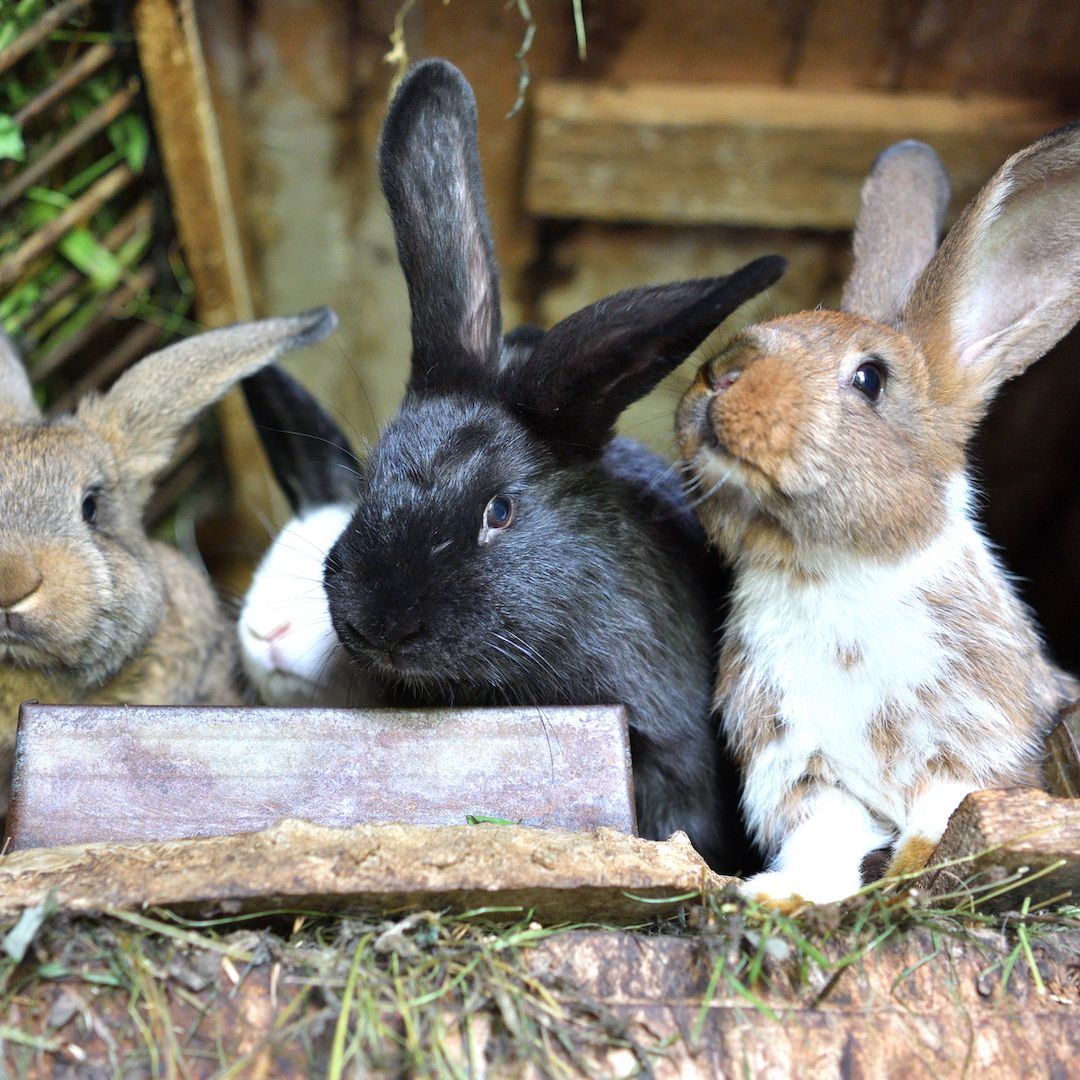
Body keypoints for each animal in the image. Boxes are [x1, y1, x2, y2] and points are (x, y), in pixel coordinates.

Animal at [676, 131, 1080, 906]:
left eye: (870, 379)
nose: (722, 372)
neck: (825, 571)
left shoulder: (973, 743)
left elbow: (940, 810)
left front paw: (908, 872)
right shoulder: (800, 764)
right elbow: (824, 835)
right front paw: (780, 896)